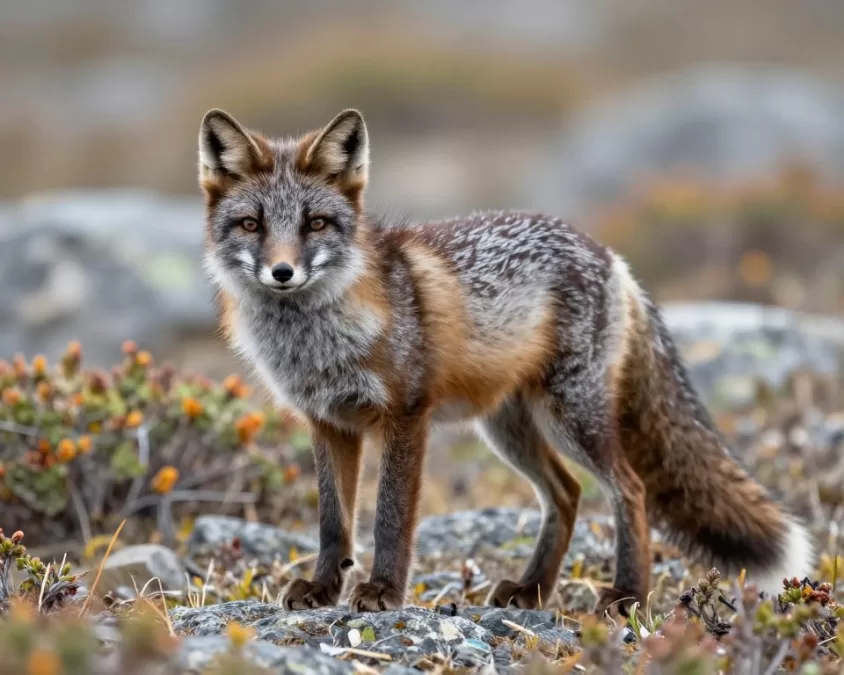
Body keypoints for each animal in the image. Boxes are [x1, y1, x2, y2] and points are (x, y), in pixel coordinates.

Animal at [197, 106, 815, 615]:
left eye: (315, 224)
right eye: (252, 224)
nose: (282, 273)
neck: (317, 342)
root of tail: (609, 254)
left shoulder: (405, 415)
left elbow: (391, 517)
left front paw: (383, 592)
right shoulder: (328, 423)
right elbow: (333, 524)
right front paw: (324, 589)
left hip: (572, 420)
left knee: (631, 489)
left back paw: (626, 596)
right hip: (509, 428)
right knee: (567, 494)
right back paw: (532, 589)